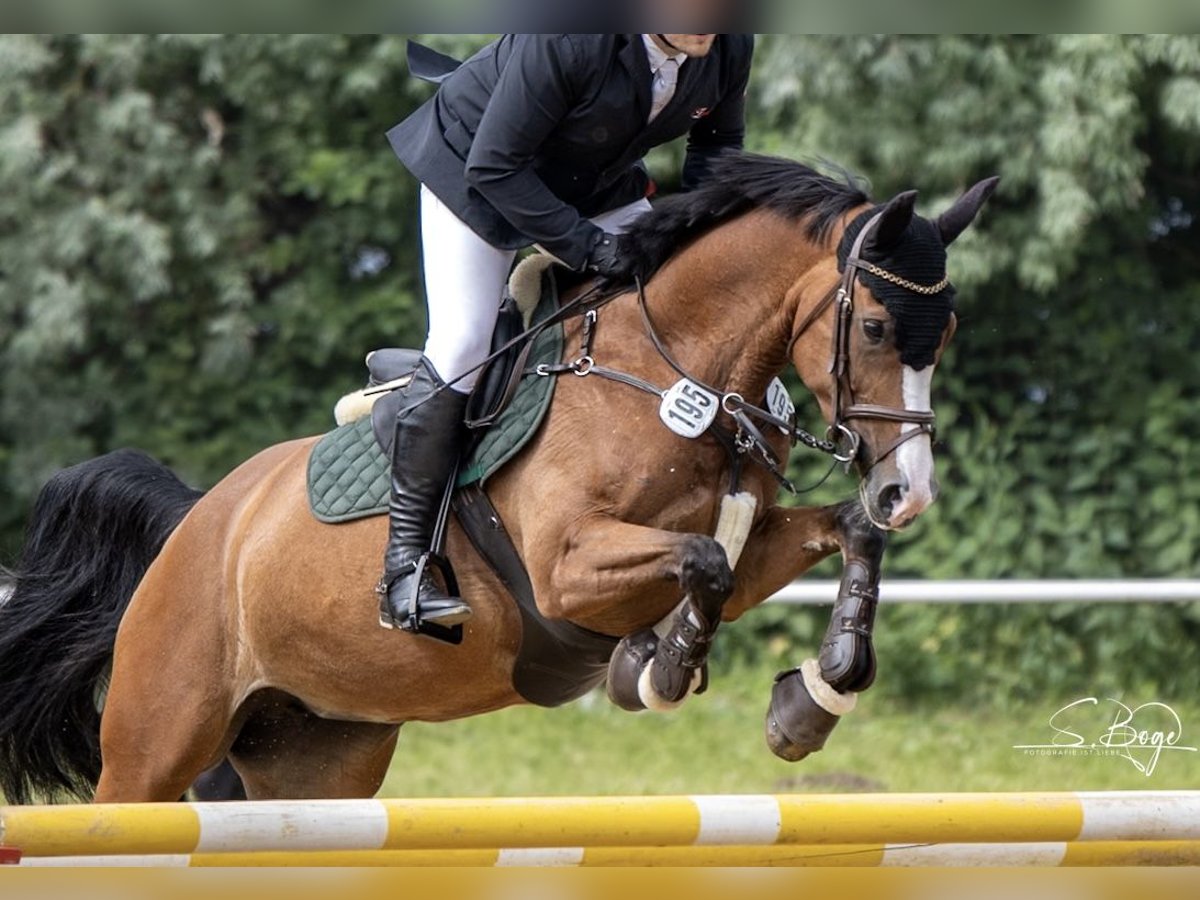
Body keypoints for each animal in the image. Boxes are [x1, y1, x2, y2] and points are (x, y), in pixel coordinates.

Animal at [0, 153, 993, 801]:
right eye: (874, 328)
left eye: (945, 334)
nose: (908, 492)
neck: (675, 372)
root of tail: (198, 522)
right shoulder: (567, 569)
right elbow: (700, 563)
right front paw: (658, 670)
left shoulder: (745, 550)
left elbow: (826, 538)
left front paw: (814, 698)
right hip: (151, 749)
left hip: (316, 757)